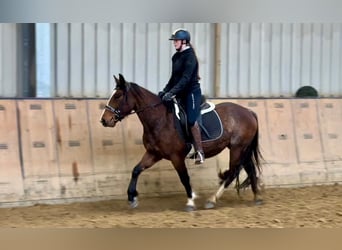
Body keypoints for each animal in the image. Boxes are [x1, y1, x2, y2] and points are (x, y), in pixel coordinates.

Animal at [100, 73, 264, 210]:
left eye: (118, 96)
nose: (104, 120)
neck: (160, 120)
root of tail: (248, 112)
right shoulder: (153, 154)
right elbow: (136, 170)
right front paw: (131, 197)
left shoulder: (176, 157)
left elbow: (184, 178)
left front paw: (190, 201)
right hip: (241, 148)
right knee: (249, 168)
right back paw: (257, 197)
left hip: (237, 148)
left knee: (233, 171)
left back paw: (212, 200)